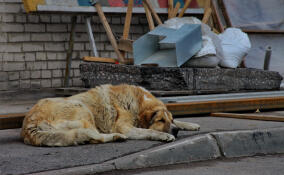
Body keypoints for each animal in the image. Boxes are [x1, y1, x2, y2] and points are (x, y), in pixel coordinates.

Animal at [21, 84, 200, 146]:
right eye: (160, 120)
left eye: (170, 119)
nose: (176, 131)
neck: (137, 102)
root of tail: (29, 124)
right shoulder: (125, 127)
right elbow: (149, 130)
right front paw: (165, 135)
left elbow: (180, 121)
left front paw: (190, 125)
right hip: (82, 108)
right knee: (94, 135)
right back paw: (116, 137)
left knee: (90, 137)